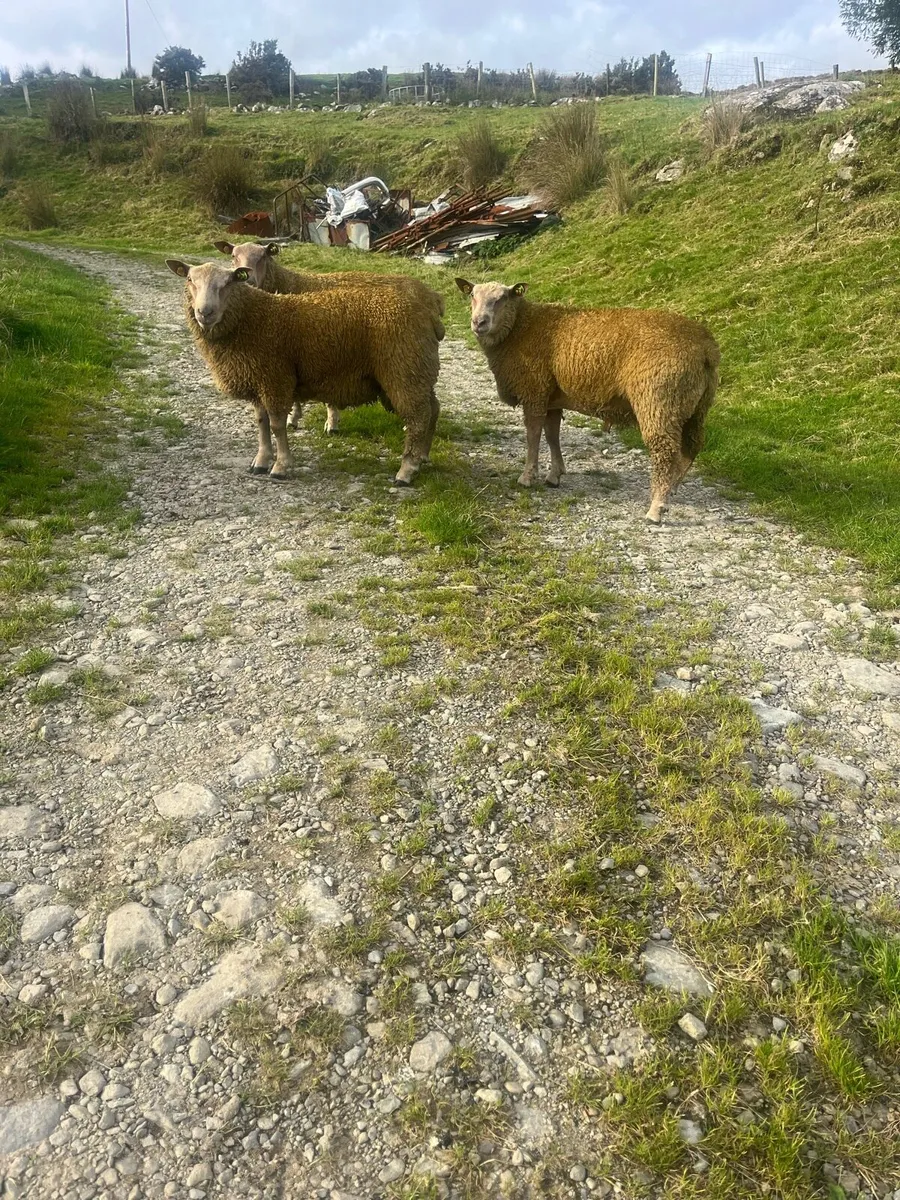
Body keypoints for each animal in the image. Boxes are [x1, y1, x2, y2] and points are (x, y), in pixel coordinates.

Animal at [166, 260, 440, 486]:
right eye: (189, 279)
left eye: (228, 282)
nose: (205, 313)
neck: (252, 318)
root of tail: (430, 312)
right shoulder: (258, 379)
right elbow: (262, 424)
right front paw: (261, 461)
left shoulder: (275, 378)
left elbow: (277, 425)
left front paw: (280, 466)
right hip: (418, 370)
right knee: (433, 410)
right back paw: (423, 457)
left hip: (405, 370)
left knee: (418, 419)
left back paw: (406, 470)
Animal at [213, 240, 445, 435]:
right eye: (233, 256)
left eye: (263, 256)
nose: (249, 279)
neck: (290, 285)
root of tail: (432, 295)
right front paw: (293, 418)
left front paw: (331, 423)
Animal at [456, 279, 720, 523]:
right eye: (472, 295)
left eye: (502, 298)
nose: (479, 322)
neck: (519, 328)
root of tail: (705, 348)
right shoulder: (552, 396)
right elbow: (552, 434)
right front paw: (555, 475)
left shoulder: (535, 390)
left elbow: (533, 435)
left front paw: (528, 477)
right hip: (695, 406)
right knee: (693, 445)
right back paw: (672, 488)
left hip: (659, 401)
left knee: (665, 451)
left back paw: (657, 506)